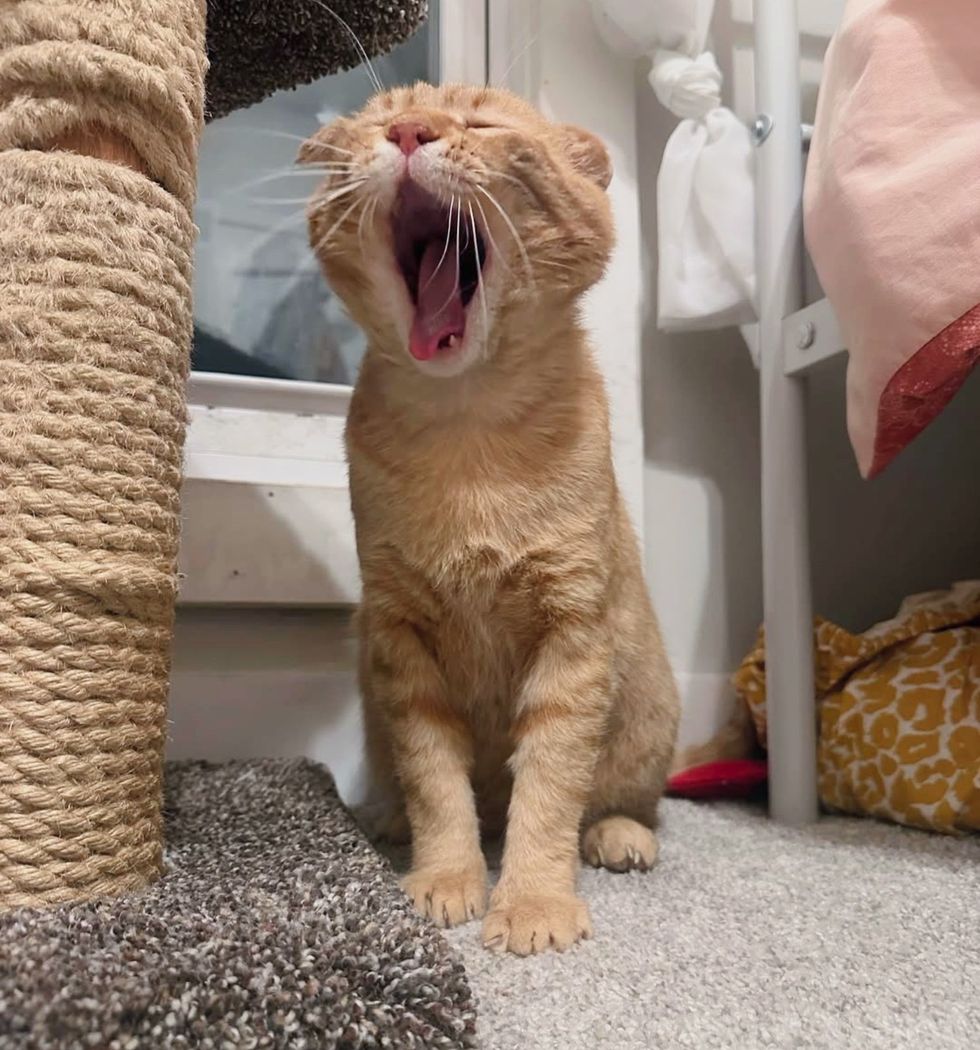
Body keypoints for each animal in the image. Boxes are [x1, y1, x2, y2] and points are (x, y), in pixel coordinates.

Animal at [302, 86, 676, 957]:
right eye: (376, 122)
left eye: (481, 121)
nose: (409, 133)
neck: (465, 433)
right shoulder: (399, 639)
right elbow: (437, 783)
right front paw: (446, 877)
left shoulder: (572, 634)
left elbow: (550, 785)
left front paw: (534, 900)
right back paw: (386, 817)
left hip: (648, 717)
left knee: (625, 801)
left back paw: (619, 834)